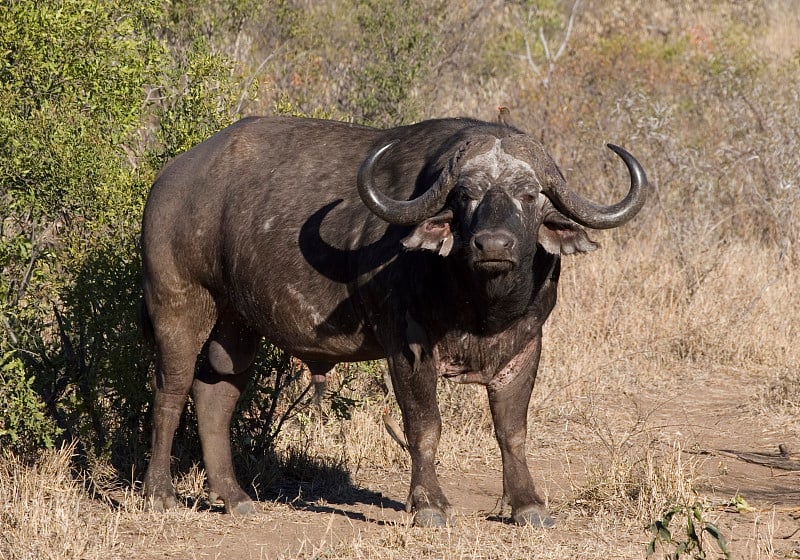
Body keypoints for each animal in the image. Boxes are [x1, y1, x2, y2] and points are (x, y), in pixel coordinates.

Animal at [139, 116, 648, 528]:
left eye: (529, 195)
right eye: (466, 195)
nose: (493, 245)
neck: (479, 303)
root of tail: (169, 179)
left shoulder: (525, 344)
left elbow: (512, 430)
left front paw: (527, 505)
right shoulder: (407, 347)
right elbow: (424, 426)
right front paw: (429, 506)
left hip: (238, 324)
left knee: (215, 394)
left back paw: (234, 497)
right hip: (178, 303)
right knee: (171, 390)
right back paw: (160, 495)